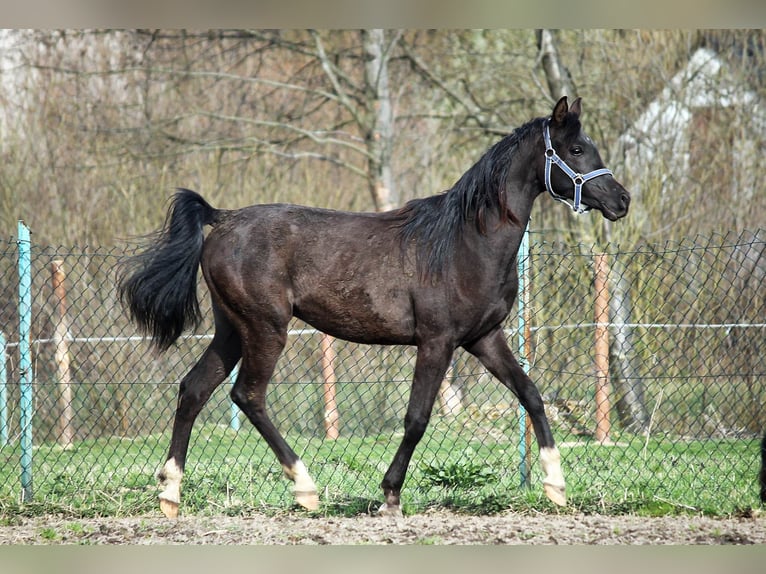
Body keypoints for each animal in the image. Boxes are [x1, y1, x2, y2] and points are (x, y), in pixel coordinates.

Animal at [120, 97, 632, 520]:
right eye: (577, 149)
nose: (622, 200)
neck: (465, 241)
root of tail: (221, 219)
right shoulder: (437, 342)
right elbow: (417, 418)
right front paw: (390, 494)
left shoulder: (484, 339)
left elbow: (531, 394)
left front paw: (556, 485)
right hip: (266, 328)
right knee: (247, 395)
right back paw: (305, 488)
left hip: (231, 329)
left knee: (193, 389)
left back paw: (170, 494)